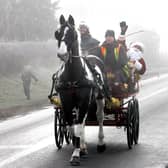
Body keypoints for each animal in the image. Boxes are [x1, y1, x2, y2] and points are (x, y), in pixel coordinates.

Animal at [52, 15, 105, 166]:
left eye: (72, 34)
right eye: (57, 33)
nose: (62, 54)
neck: (72, 77)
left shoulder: (84, 100)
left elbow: (79, 125)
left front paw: (76, 154)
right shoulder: (66, 102)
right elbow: (72, 126)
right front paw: (78, 149)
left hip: (99, 98)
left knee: (99, 117)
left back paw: (100, 143)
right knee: (81, 121)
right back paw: (83, 147)